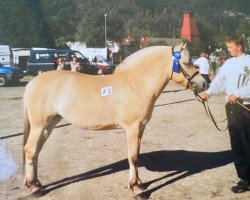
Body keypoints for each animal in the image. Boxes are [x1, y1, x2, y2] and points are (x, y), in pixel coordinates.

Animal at [23, 43, 205, 197]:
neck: (137, 84)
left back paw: (37, 184)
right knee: (30, 150)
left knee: (36, 151)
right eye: (187, 62)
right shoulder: (132, 127)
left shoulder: (140, 128)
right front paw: (136, 188)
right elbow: (133, 157)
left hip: (49, 124)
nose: (204, 83)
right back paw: (34, 188)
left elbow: (136, 155)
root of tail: (32, 83)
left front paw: (139, 183)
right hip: (40, 125)